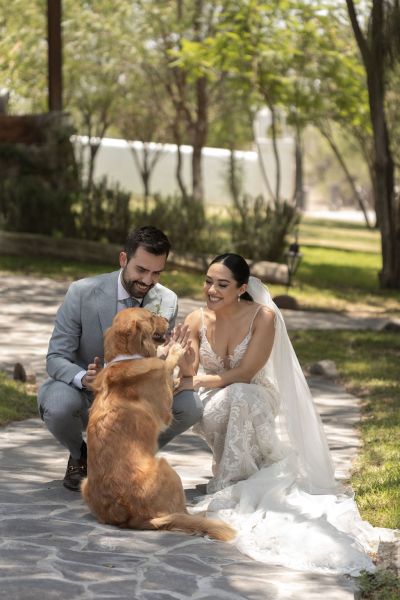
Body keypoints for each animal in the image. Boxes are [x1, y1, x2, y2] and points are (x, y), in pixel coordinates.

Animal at [81, 308, 236, 540]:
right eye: (151, 316)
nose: (166, 318)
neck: (127, 357)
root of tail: (135, 519)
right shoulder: (165, 411)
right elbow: (166, 367)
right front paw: (174, 349)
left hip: (84, 484)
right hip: (166, 468)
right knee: (182, 512)